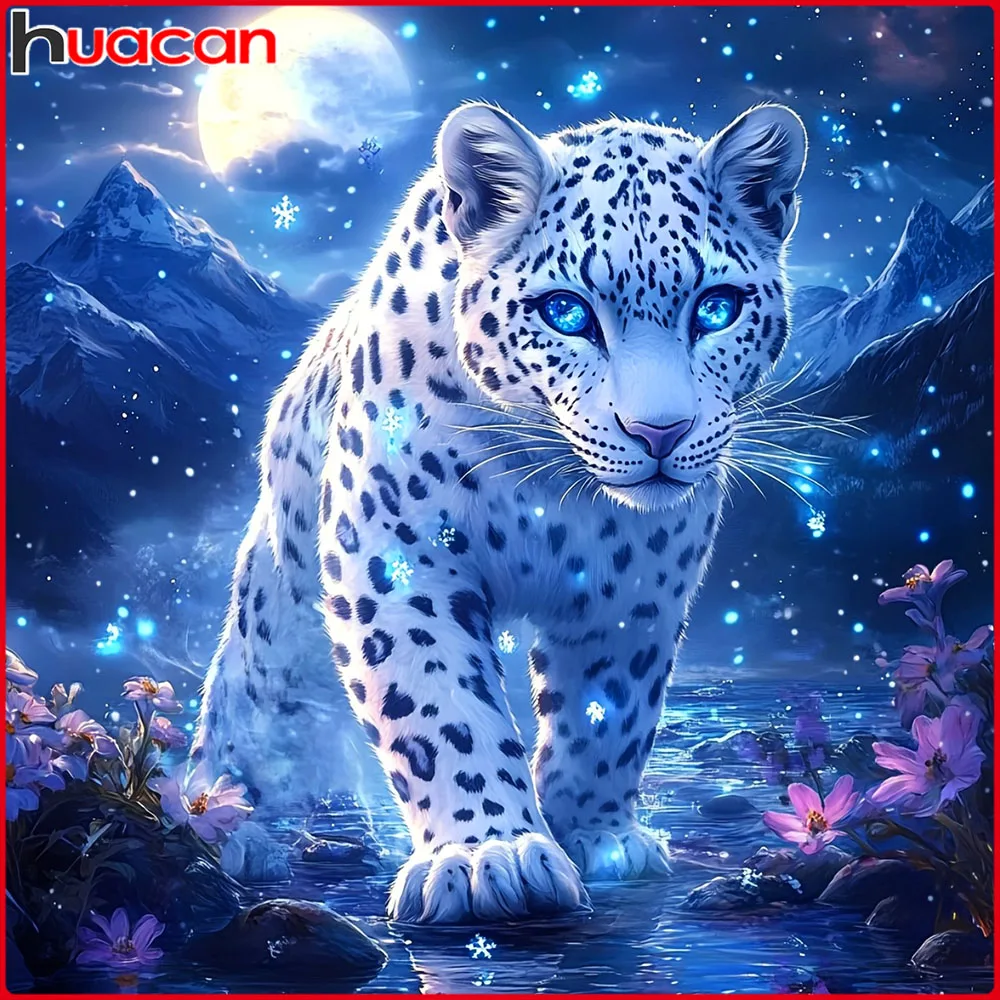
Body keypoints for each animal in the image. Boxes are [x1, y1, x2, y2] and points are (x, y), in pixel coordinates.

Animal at [193, 100, 807, 924]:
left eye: (717, 307)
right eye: (566, 312)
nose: (660, 432)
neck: (550, 495)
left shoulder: (638, 587)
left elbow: (613, 713)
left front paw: (599, 834)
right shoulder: (397, 557)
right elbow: (439, 705)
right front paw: (493, 855)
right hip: (269, 649)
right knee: (237, 729)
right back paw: (233, 829)